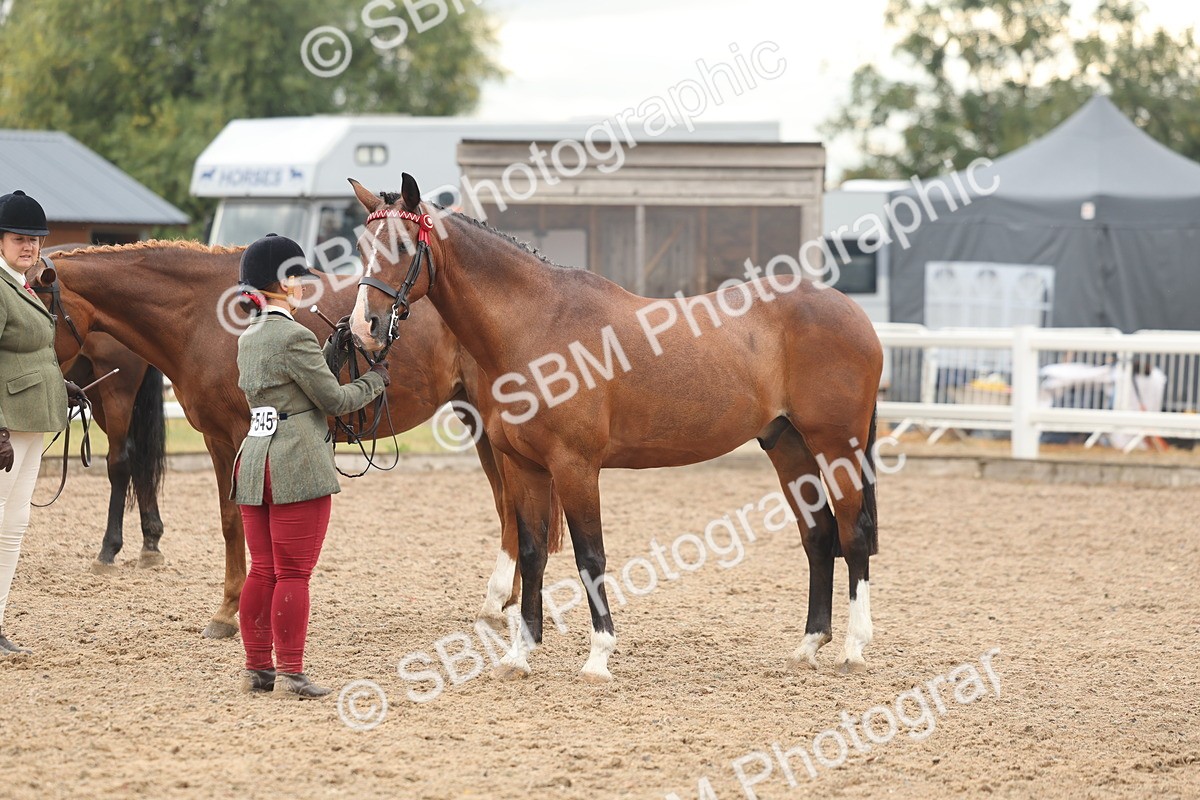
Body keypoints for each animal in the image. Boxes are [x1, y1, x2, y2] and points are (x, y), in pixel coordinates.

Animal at [31, 241, 562, 639]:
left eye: (39, 312)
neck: (202, 314)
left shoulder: (237, 436)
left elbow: (239, 522)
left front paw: (230, 613)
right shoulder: (220, 442)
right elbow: (231, 522)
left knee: (510, 505)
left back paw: (499, 604)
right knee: (508, 505)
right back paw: (506, 604)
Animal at [349, 175, 883, 680]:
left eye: (402, 245)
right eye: (360, 246)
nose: (363, 328)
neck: (537, 325)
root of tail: (855, 314)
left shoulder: (576, 467)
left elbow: (591, 556)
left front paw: (598, 658)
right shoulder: (525, 467)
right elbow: (532, 553)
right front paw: (520, 654)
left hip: (837, 447)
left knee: (853, 535)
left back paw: (854, 650)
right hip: (789, 446)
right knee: (818, 536)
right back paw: (809, 646)